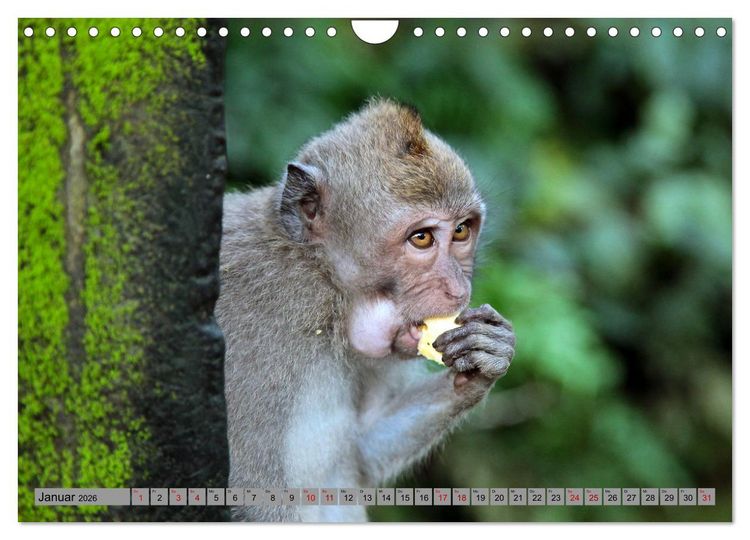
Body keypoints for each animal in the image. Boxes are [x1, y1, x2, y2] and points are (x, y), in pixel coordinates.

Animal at [215, 98, 516, 522]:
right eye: (421, 238)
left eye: (461, 231)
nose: (458, 290)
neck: (328, 286)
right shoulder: (260, 325)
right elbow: (250, 490)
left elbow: (361, 453)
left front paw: (486, 355)